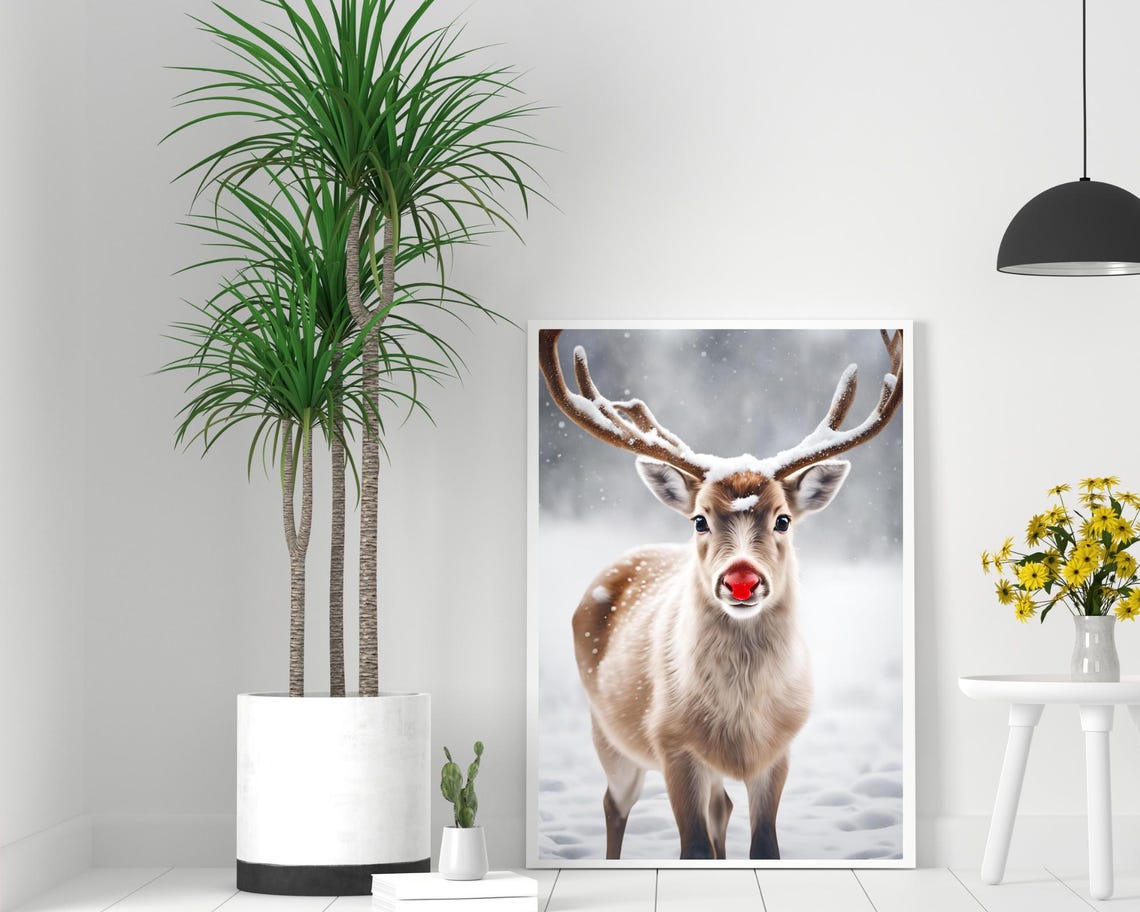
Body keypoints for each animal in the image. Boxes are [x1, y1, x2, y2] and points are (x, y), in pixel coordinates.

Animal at [537, 328, 903, 861]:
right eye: (699, 519)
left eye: (783, 519)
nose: (742, 580)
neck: (741, 726)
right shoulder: (671, 743)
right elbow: (691, 848)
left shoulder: (778, 751)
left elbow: (764, 846)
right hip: (607, 733)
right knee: (613, 803)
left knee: (720, 807)